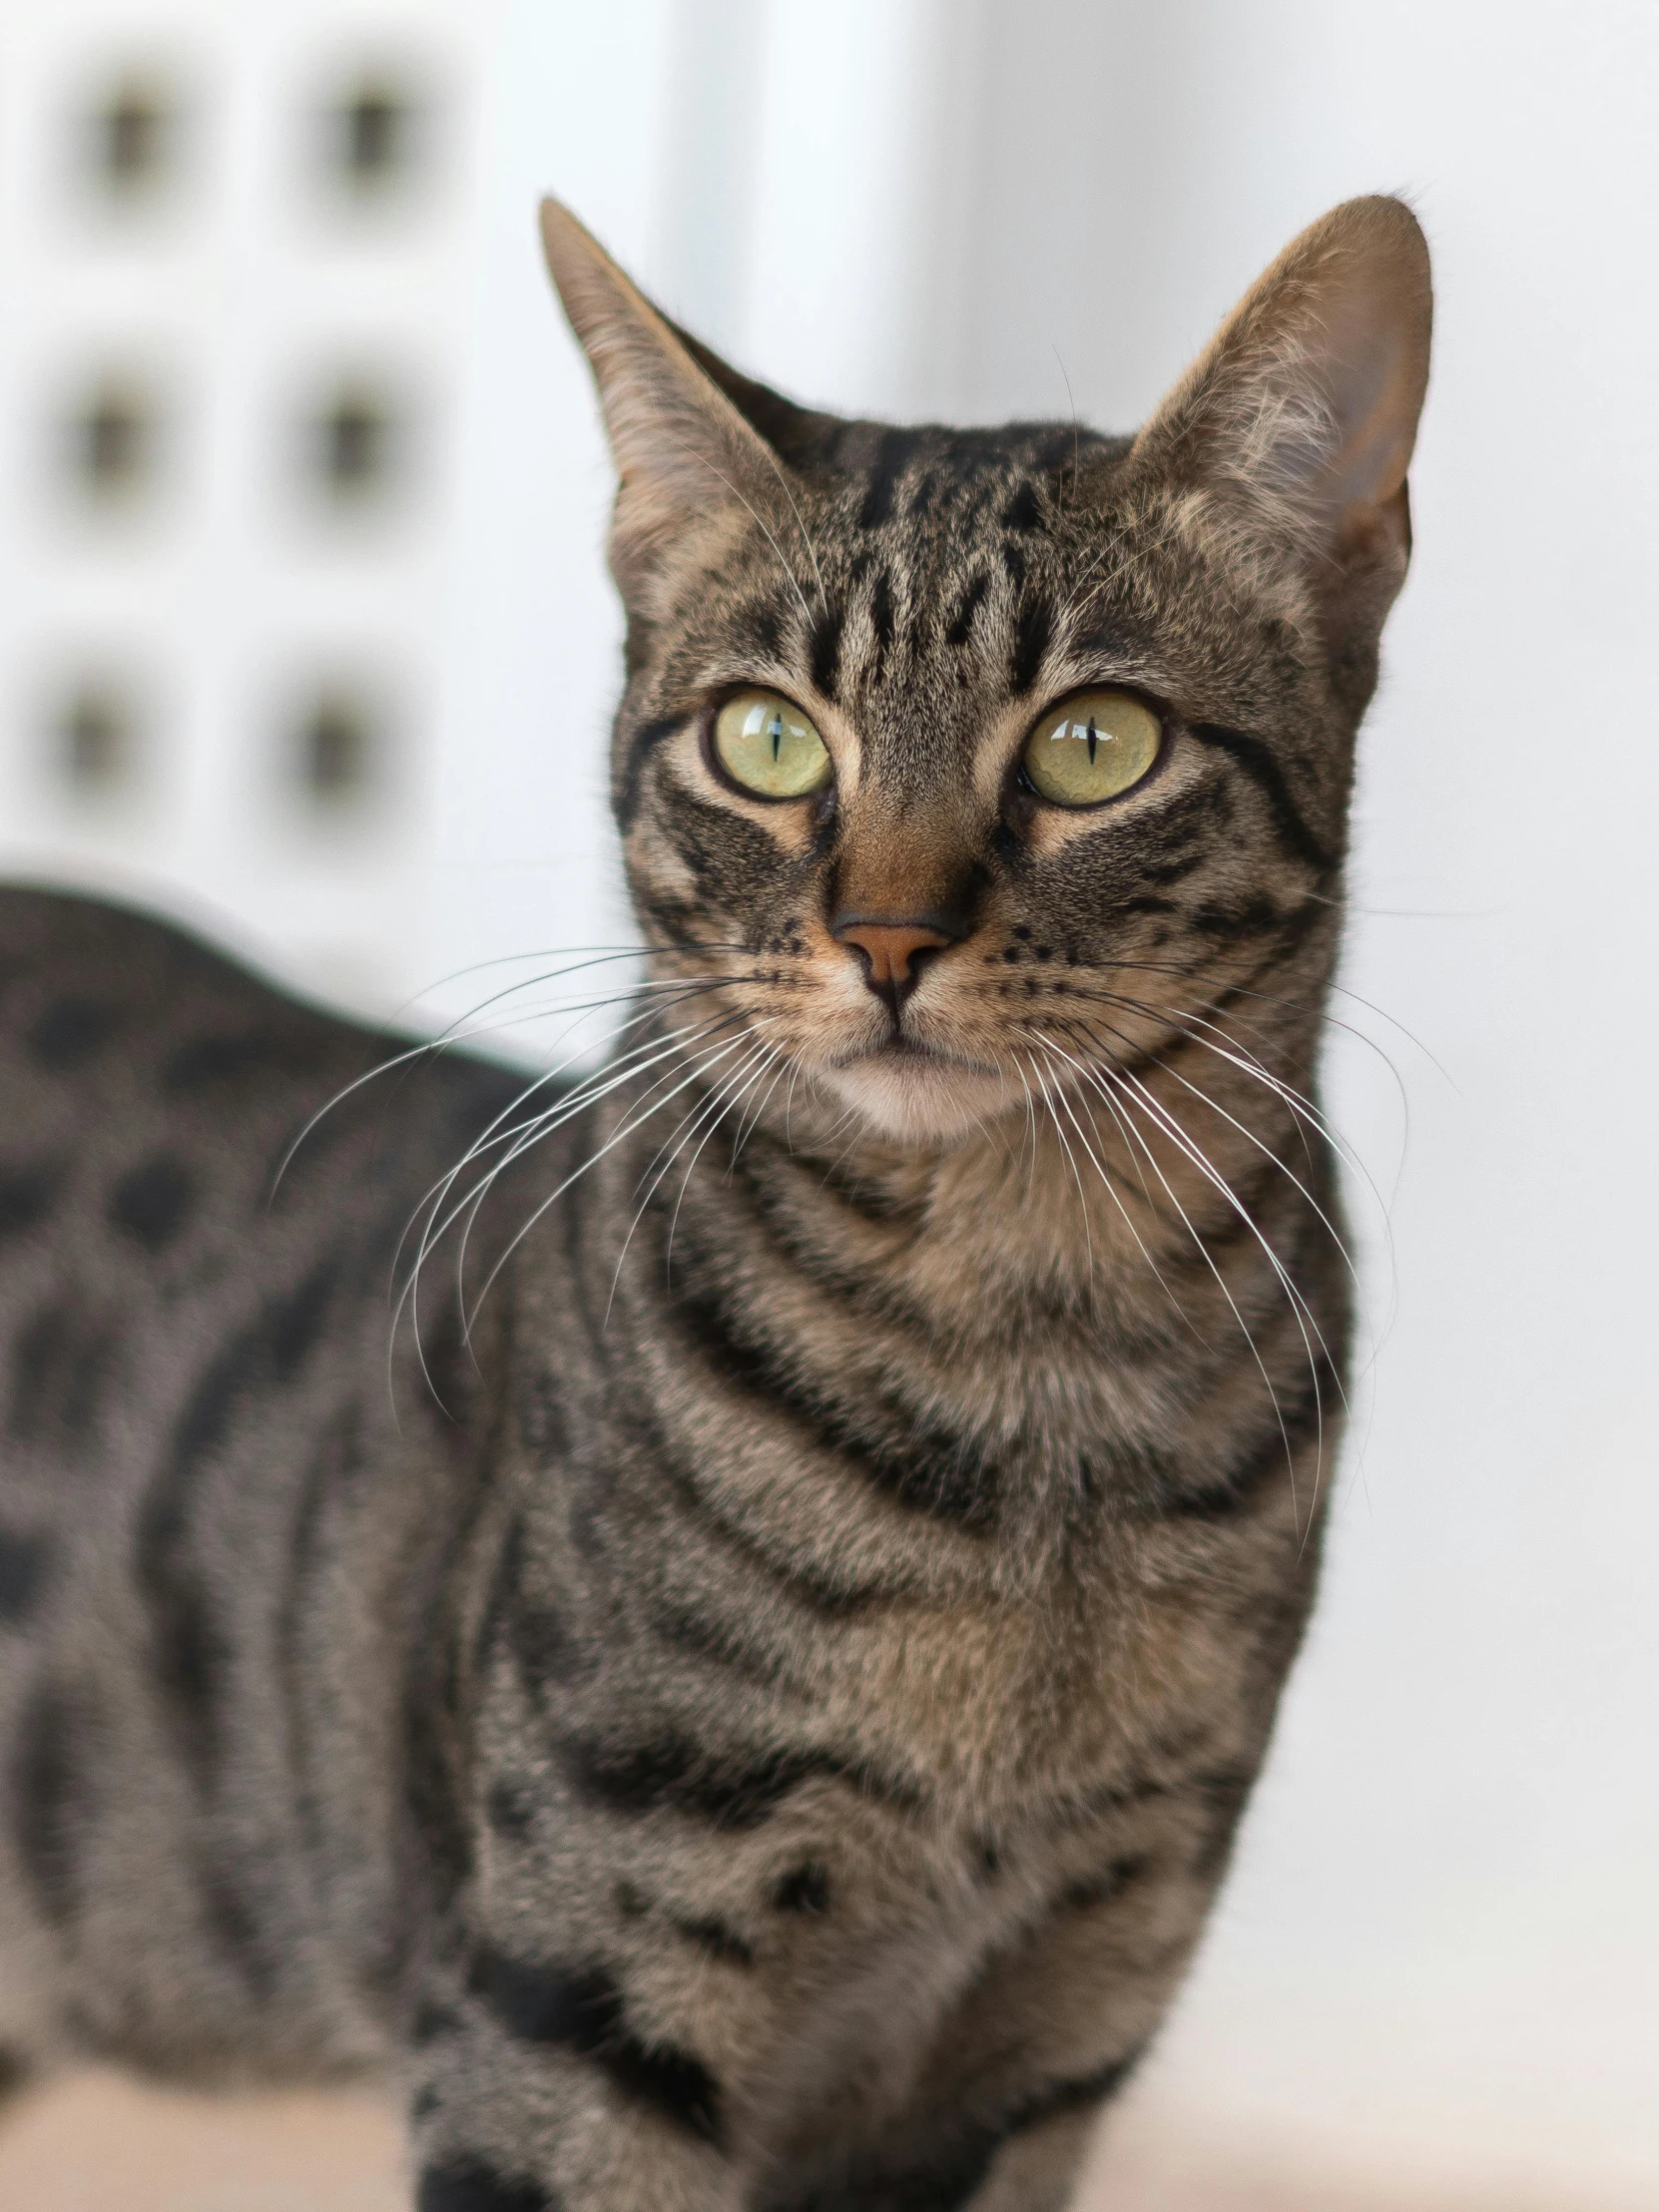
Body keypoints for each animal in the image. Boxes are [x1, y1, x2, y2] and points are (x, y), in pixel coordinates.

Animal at [0, 195, 1432, 2212]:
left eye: (1091, 745)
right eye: (767, 740)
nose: (889, 938)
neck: (1036, 1377)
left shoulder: (1062, 2006)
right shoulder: (583, 1988)